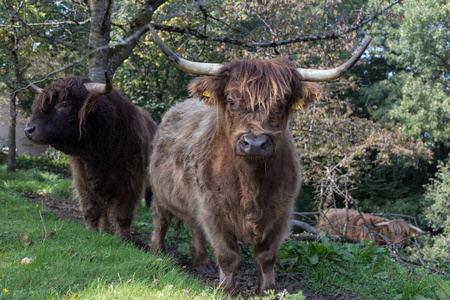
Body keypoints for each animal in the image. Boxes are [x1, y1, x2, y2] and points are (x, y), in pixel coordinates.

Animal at [25, 75, 158, 239]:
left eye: (64, 104)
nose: (28, 130)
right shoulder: (83, 179)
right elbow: (90, 208)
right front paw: (91, 231)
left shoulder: (130, 180)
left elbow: (123, 213)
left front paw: (123, 238)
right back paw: (105, 229)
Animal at [148, 24, 370, 296]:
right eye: (231, 101)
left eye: (282, 104)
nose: (254, 143)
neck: (250, 183)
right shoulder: (212, 209)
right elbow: (228, 254)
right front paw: (225, 290)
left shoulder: (281, 212)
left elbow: (267, 257)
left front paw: (267, 290)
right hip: (161, 191)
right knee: (161, 219)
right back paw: (157, 252)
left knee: (194, 225)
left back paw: (202, 264)